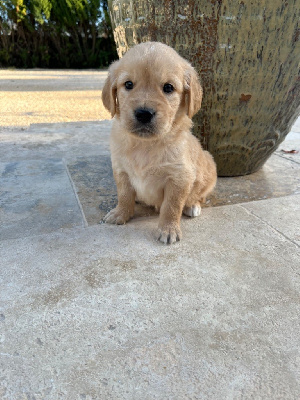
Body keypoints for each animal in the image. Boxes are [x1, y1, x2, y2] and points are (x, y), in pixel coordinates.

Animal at [102, 41, 217, 244]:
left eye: (168, 88)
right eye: (128, 84)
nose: (143, 114)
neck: (145, 145)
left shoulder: (179, 177)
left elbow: (172, 206)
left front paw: (168, 229)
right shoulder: (121, 170)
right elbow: (124, 195)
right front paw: (120, 213)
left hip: (209, 167)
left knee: (200, 196)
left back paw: (193, 206)